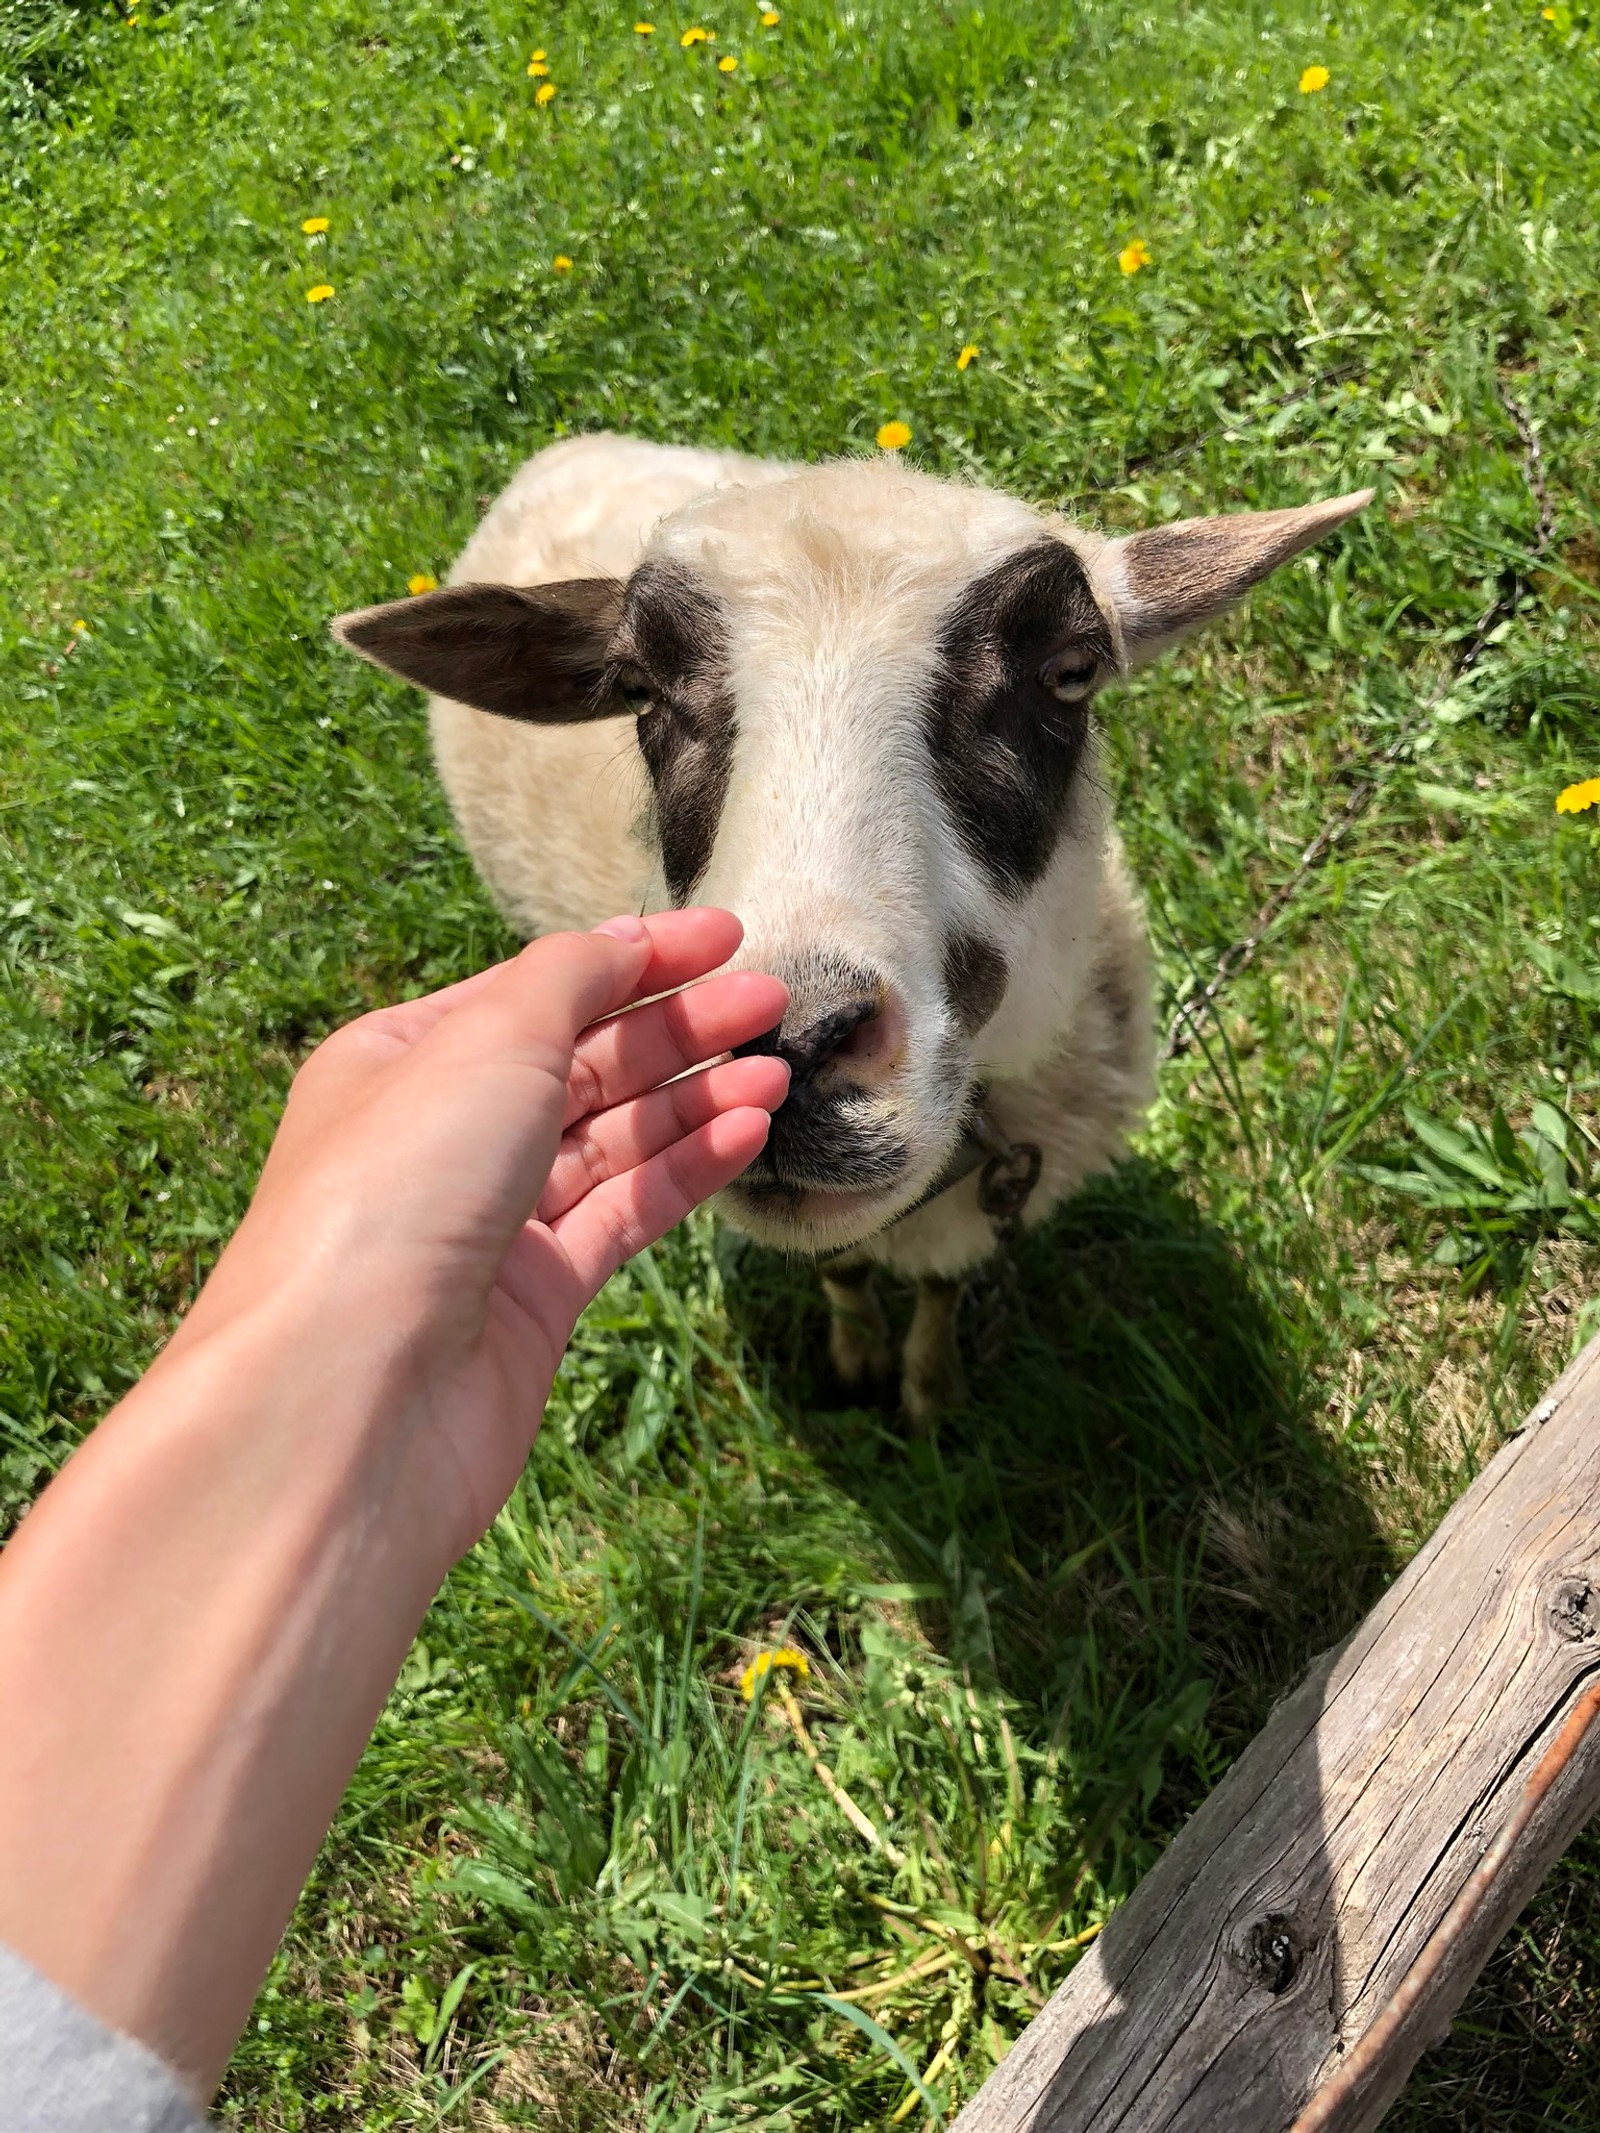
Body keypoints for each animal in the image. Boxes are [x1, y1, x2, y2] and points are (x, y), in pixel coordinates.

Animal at [332, 437, 1373, 1416]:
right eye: (636, 690)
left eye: (1070, 672)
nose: (789, 1040)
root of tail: (564, 447)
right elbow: (840, 1268)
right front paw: (864, 1355)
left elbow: (944, 1290)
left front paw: (929, 1386)